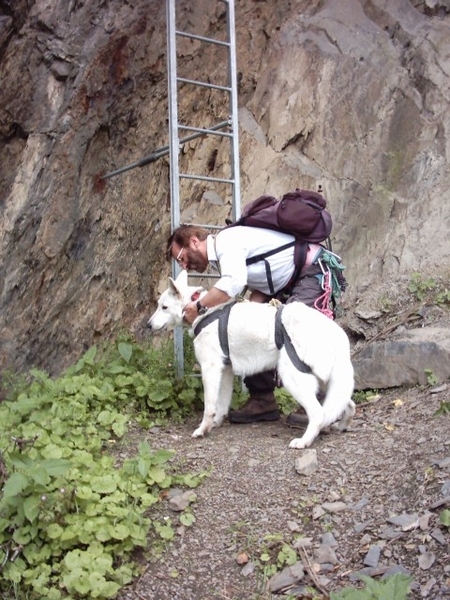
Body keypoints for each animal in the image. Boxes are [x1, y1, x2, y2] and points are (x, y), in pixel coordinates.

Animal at [148, 270, 356, 448]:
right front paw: (215, 424)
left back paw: (304, 441)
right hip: (325, 381)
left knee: (319, 413)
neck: (204, 311)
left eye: (164, 307)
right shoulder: (225, 370)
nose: (148, 325)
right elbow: (221, 405)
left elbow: (209, 406)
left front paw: (202, 429)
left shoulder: (210, 369)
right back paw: (341, 426)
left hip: (293, 377)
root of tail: (336, 332)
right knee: (346, 404)